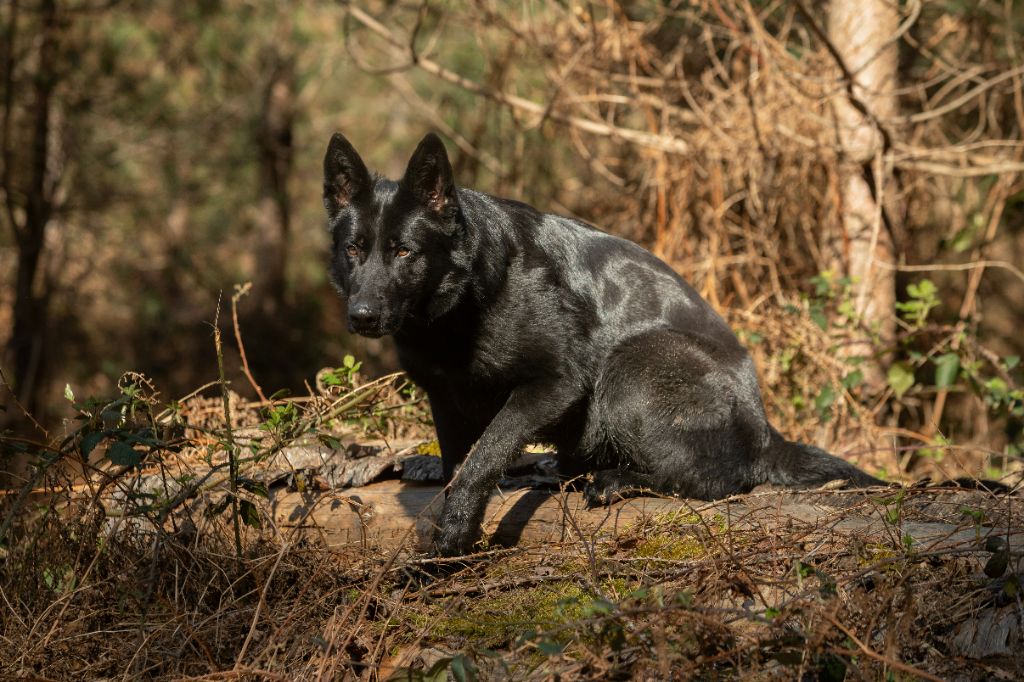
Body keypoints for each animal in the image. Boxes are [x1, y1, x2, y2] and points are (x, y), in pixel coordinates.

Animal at [323, 131, 884, 552]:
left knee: (714, 481)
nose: (363, 316)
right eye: (354, 249)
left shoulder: (553, 383)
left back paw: (616, 480)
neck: (460, 309)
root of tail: (766, 430)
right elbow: (460, 458)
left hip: (633, 368)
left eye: (404, 251)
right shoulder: (444, 396)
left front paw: (456, 525)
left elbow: (488, 450)